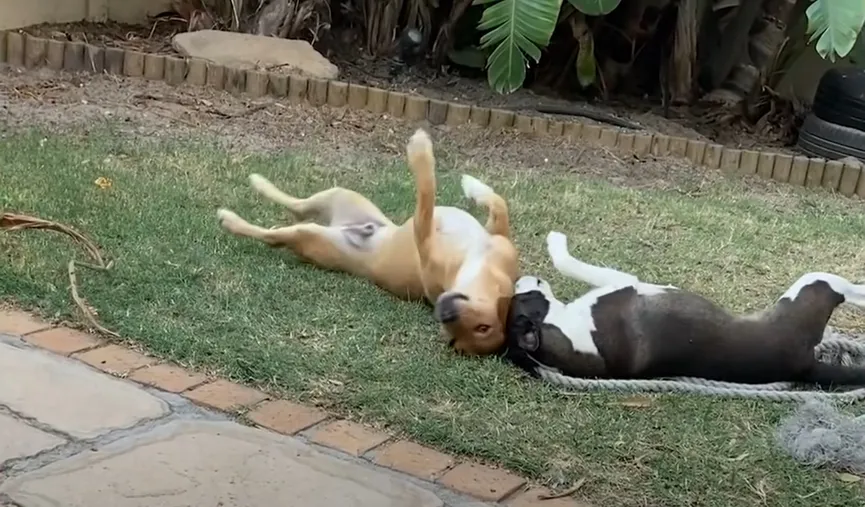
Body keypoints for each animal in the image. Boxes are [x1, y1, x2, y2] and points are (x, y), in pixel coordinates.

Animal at [502, 231, 864, 388]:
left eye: (516, 295)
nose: (521, 277)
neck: (563, 330)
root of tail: (804, 366)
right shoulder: (624, 283)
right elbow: (568, 261)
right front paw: (556, 241)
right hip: (812, 286)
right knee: (852, 291)